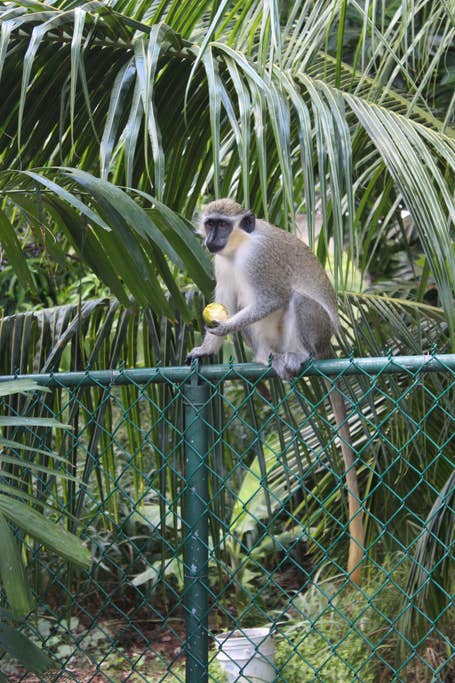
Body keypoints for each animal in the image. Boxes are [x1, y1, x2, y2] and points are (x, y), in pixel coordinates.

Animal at [187, 198, 365, 585]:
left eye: (222, 225)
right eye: (209, 224)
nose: (210, 239)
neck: (238, 249)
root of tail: (327, 345)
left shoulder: (260, 260)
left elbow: (272, 298)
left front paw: (222, 327)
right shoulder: (220, 264)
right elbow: (227, 299)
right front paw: (206, 349)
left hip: (317, 332)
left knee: (296, 301)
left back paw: (298, 357)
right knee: (248, 308)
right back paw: (264, 358)